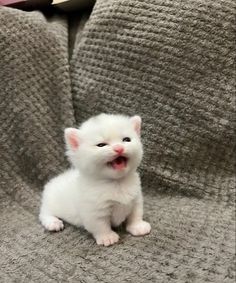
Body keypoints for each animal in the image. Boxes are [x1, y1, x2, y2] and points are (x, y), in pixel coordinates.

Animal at [39, 113, 151, 246]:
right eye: (101, 145)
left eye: (126, 139)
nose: (119, 148)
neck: (117, 182)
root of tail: (54, 181)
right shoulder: (94, 211)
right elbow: (100, 225)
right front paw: (107, 237)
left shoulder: (136, 199)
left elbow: (136, 214)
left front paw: (138, 226)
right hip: (50, 202)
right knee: (44, 213)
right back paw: (53, 222)